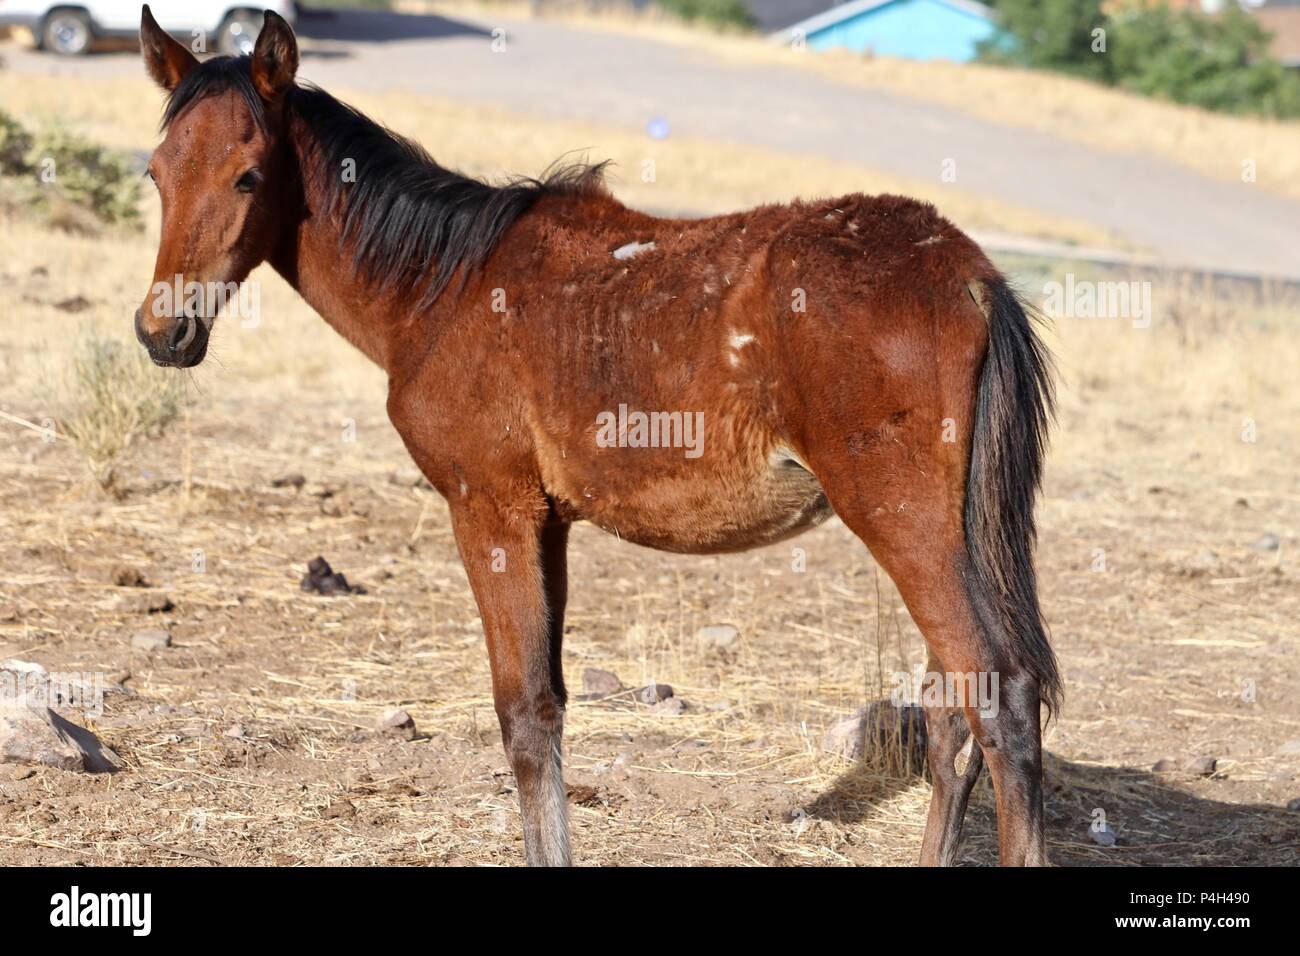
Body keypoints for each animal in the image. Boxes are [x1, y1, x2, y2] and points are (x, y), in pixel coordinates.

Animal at [137, 3, 1060, 863]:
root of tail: (968, 274)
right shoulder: (549, 525)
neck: (445, 287)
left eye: (249, 176)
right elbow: (549, 705)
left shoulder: (491, 511)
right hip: (951, 534)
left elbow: (522, 715)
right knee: (952, 721)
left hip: (906, 525)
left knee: (999, 702)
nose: (162, 332)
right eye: (155, 172)